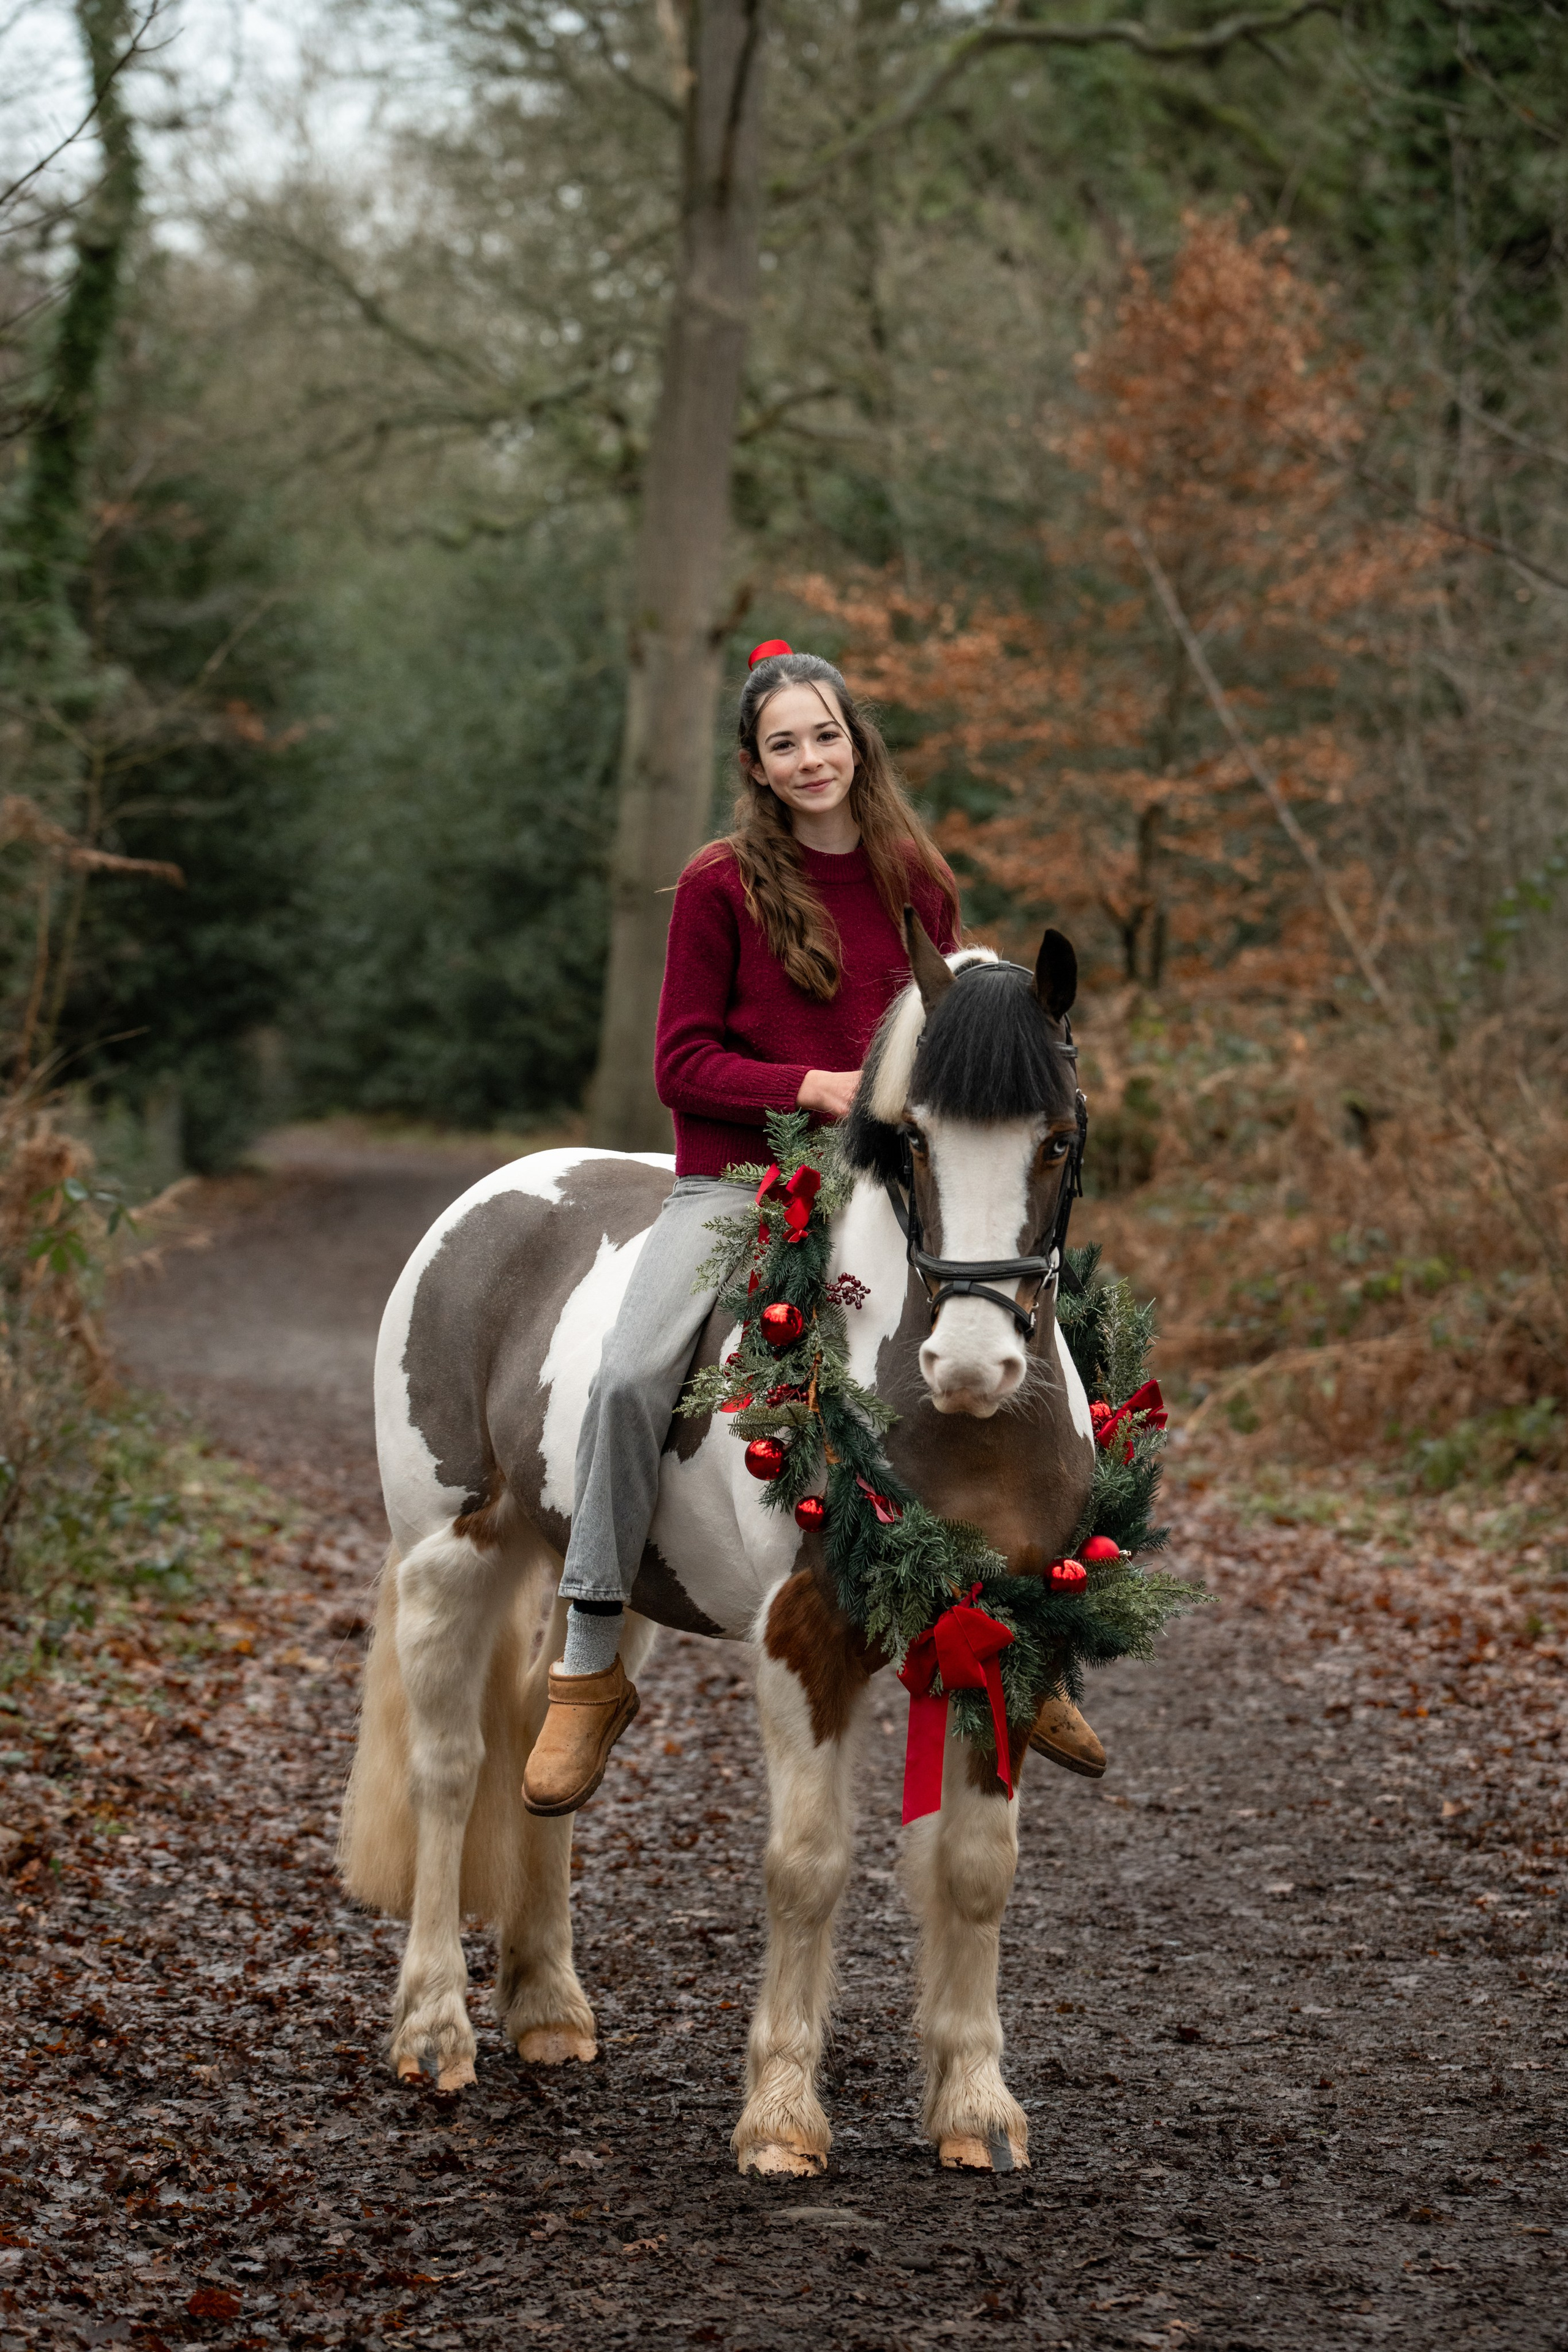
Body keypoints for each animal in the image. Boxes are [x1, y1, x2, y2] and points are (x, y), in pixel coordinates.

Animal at [339, 917, 1097, 2177]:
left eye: (1058, 1139)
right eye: (911, 1143)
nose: (973, 1364)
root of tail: (490, 1202)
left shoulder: (1006, 1639)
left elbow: (977, 1870)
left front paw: (975, 2106)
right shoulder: (807, 1642)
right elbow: (809, 1866)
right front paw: (783, 2114)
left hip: (602, 1582)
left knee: (545, 1744)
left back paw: (546, 2008)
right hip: (449, 1554)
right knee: (450, 1770)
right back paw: (436, 2027)